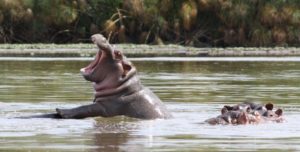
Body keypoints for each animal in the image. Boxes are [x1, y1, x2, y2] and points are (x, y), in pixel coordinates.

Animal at [20, 33, 171, 119]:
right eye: (114, 44)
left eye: (118, 53)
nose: (103, 37)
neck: (126, 88)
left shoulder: (106, 107)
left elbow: (85, 108)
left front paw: (61, 111)